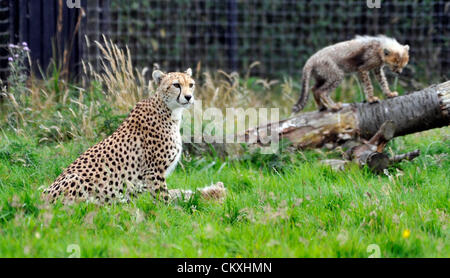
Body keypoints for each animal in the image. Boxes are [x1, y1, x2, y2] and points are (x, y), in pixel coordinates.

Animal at [43, 69, 225, 204]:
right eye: (176, 85)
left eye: (191, 85)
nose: (188, 97)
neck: (169, 110)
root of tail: (43, 198)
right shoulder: (153, 171)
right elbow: (163, 198)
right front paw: (174, 214)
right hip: (77, 179)